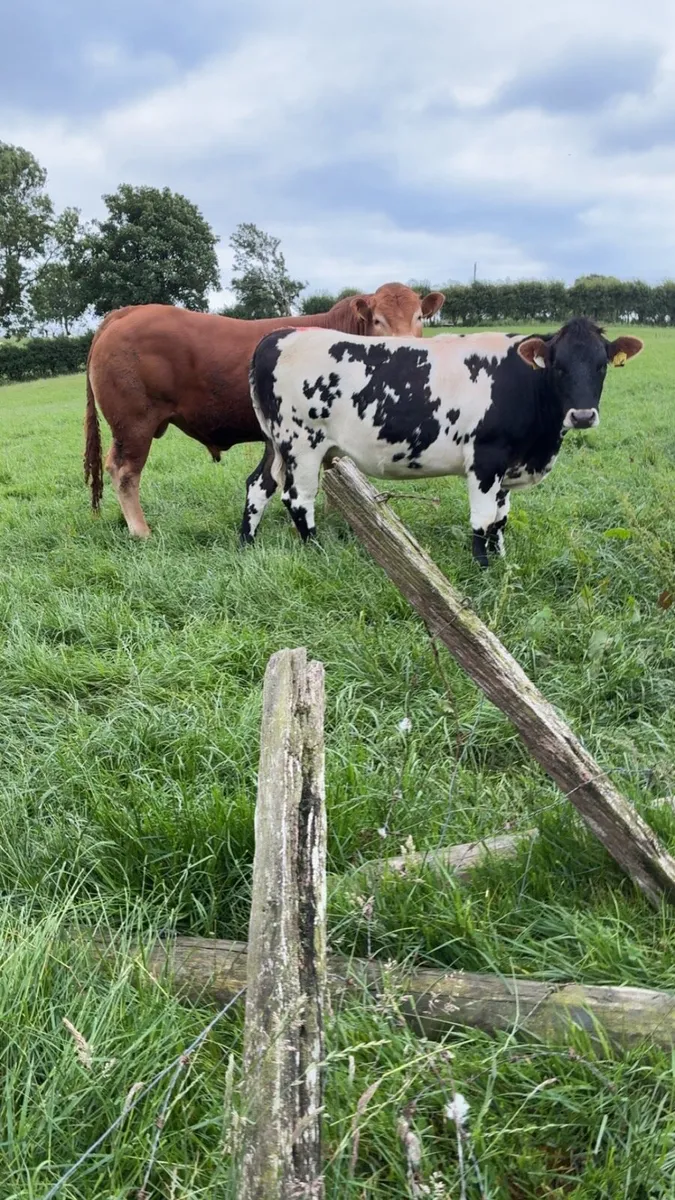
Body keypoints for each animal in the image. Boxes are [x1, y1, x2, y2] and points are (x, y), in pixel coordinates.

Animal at [83, 284, 444, 538]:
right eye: (379, 320)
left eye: (419, 317)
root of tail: (126, 312)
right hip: (134, 424)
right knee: (124, 471)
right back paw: (141, 532)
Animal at [241, 317, 643, 566]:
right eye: (559, 367)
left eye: (602, 366)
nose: (583, 416)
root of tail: (281, 334)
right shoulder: (485, 459)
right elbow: (482, 519)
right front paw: (482, 567)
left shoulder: (508, 465)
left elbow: (500, 519)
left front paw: (501, 560)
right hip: (302, 443)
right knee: (298, 498)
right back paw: (316, 549)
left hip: (276, 442)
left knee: (259, 485)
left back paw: (247, 543)